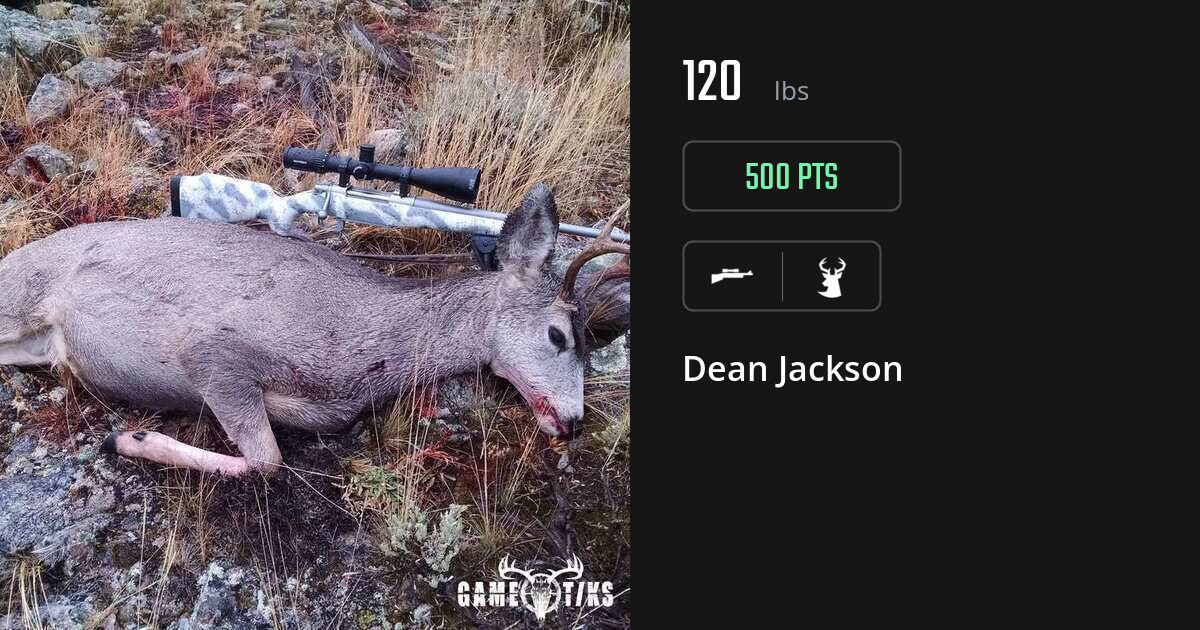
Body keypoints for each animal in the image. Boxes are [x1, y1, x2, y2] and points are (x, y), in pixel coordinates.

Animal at [0, 184, 629, 477]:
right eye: (559, 336)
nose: (574, 422)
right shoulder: (214, 353)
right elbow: (268, 461)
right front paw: (129, 438)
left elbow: (268, 457)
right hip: (19, 298)